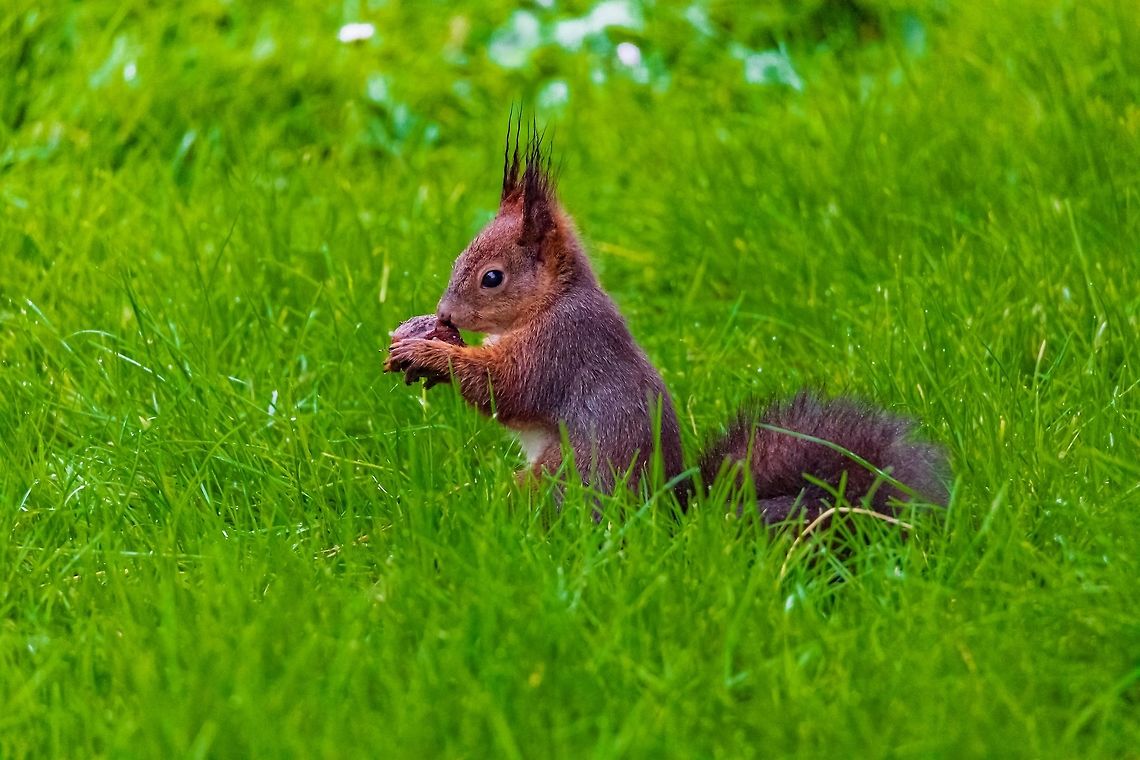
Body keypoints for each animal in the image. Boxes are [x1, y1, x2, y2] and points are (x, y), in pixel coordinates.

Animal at [385, 120, 948, 521]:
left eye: (492, 278)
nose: (445, 313)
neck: (552, 301)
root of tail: (668, 516)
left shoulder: (561, 345)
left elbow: (506, 387)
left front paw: (430, 353)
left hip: (564, 475)